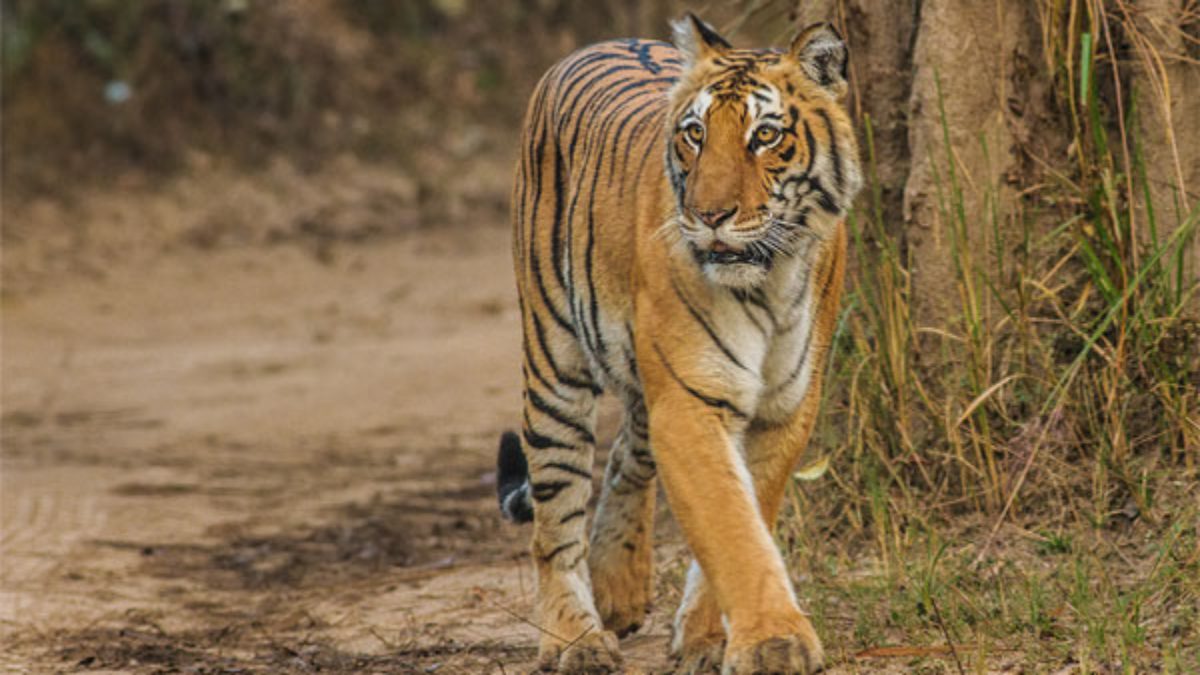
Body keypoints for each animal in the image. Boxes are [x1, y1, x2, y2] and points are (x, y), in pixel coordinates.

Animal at [495, 13, 861, 674]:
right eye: (695, 134)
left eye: (765, 135)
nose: (709, 215)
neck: (769, 281)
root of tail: (599, 42)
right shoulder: (690, 403)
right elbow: (731, 526)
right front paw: (773, 642)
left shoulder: (784, 406)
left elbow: (749, 514)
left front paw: (707, 638)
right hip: (554, 360)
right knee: (555, 518)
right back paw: (576, 640)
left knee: (625, 455)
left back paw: (617, 588)